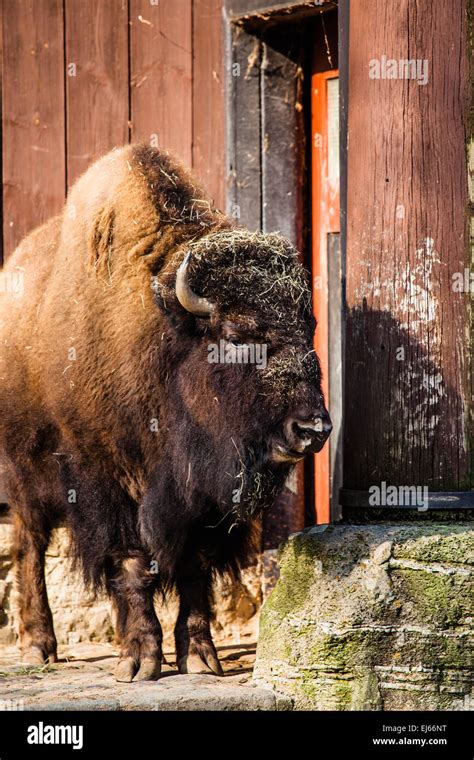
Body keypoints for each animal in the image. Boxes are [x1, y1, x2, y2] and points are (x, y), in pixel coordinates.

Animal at [0, 145, 332, 680]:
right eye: (237, 335)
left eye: (309, 332)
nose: (312, 428)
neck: (162, 343)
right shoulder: (107, 481)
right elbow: (131, 563)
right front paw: (139, 660)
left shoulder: (202, 500)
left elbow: (194, 569)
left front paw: (199, 656)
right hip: (24, 472)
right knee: (29, 544)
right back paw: (37, 645)